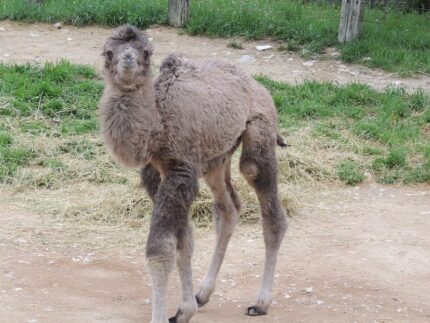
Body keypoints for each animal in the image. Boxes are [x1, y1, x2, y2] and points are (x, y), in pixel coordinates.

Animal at [100, 26, 288, 323]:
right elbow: (184, 239)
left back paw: (260, 302)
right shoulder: (157, 173)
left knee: (265, 198)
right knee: (228, 209)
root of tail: (257, 84)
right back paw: (203, 293)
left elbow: (160, 249)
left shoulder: (180, 171)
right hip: (216, 158)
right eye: (109, 52)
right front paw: (184, 309)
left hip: (260, 126)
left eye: (145, 52)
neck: (158, 126)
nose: (127, 59)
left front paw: (167, 314)